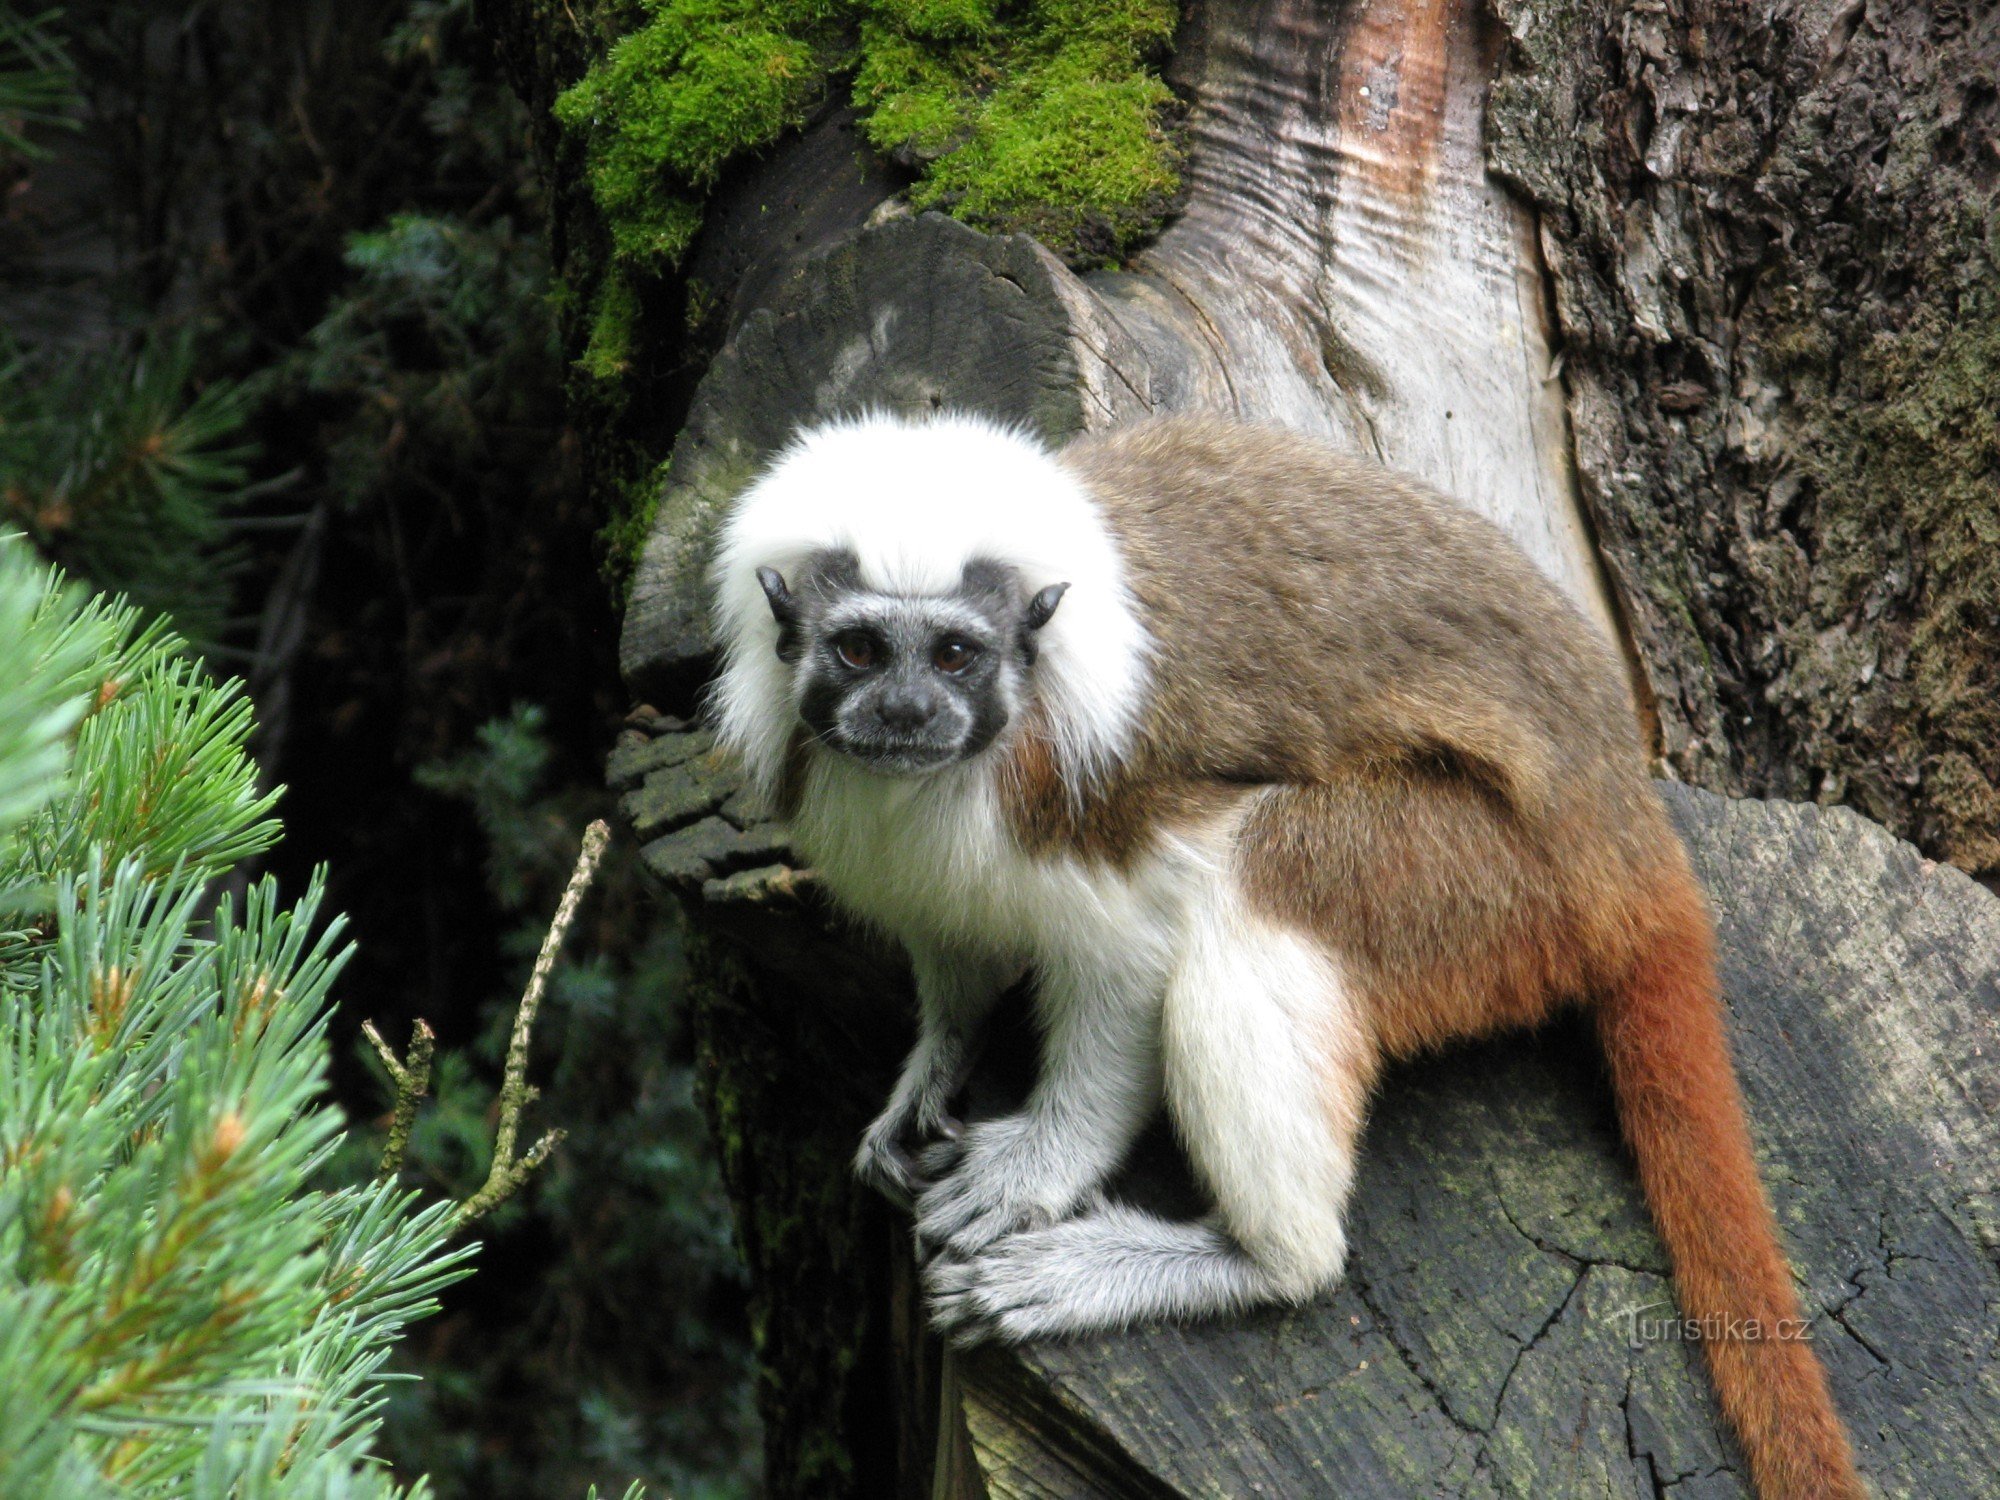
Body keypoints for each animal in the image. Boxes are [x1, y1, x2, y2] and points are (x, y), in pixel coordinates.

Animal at [708, 412, 1856, 1500]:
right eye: (859, 651)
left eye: (953, 656)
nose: (906, 713)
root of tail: (1627, 833)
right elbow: (947, 932)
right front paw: (929, 1080)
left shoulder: (1083, 796)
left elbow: (1139, 943)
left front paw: (1041, 1166)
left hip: (1494, 891)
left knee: (1260, 877)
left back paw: (1242, 1262)